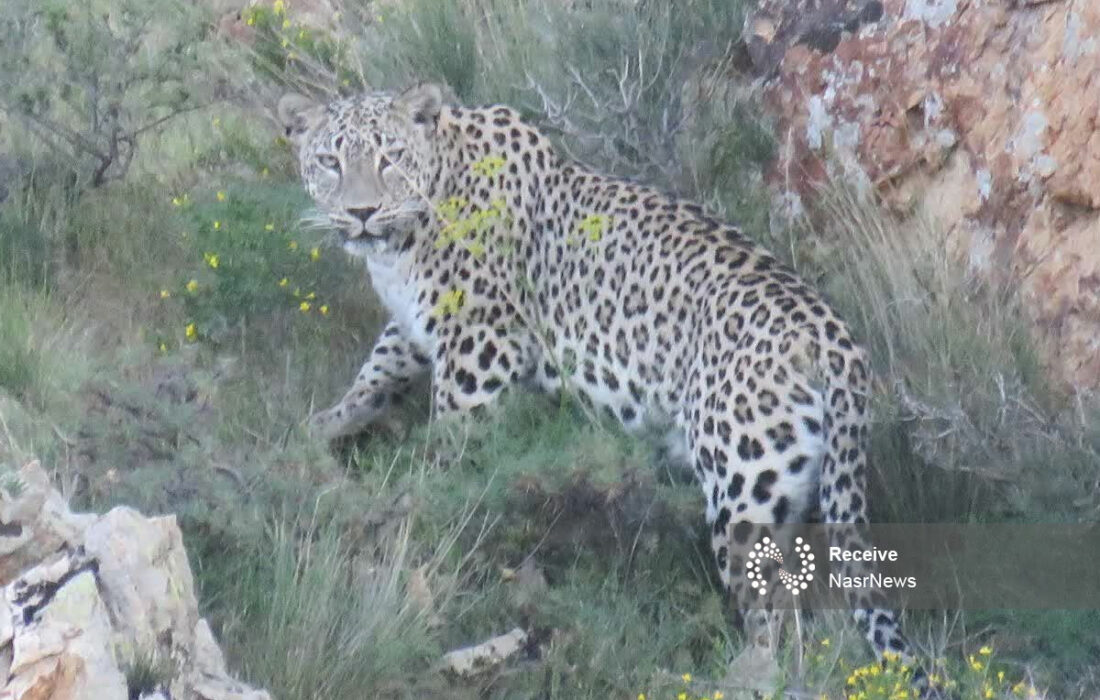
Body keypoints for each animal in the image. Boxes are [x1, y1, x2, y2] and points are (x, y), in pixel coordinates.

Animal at [272, 83, 919, 682]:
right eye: (329, 160)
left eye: (390, 158)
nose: (361, 212)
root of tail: (834, 339)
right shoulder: (418, 327)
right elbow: (376, 372)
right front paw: (321, 427)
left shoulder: (480, 347)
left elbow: (449, 448)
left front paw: (421, 506)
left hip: (743, 484)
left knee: (773, 614)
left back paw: (745, 674)